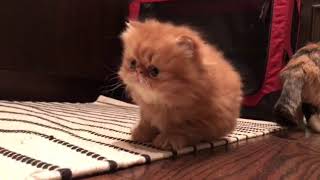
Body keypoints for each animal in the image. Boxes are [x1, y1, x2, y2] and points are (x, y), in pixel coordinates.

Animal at [118, 19, 242, 150]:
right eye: (133, 63)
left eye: (154, 71)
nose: (138, 71)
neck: (161, 103)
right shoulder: (146, 112)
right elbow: (146, 123)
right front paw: (140, 133)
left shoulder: (202, 121)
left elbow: (181, 129)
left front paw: (168, 139)